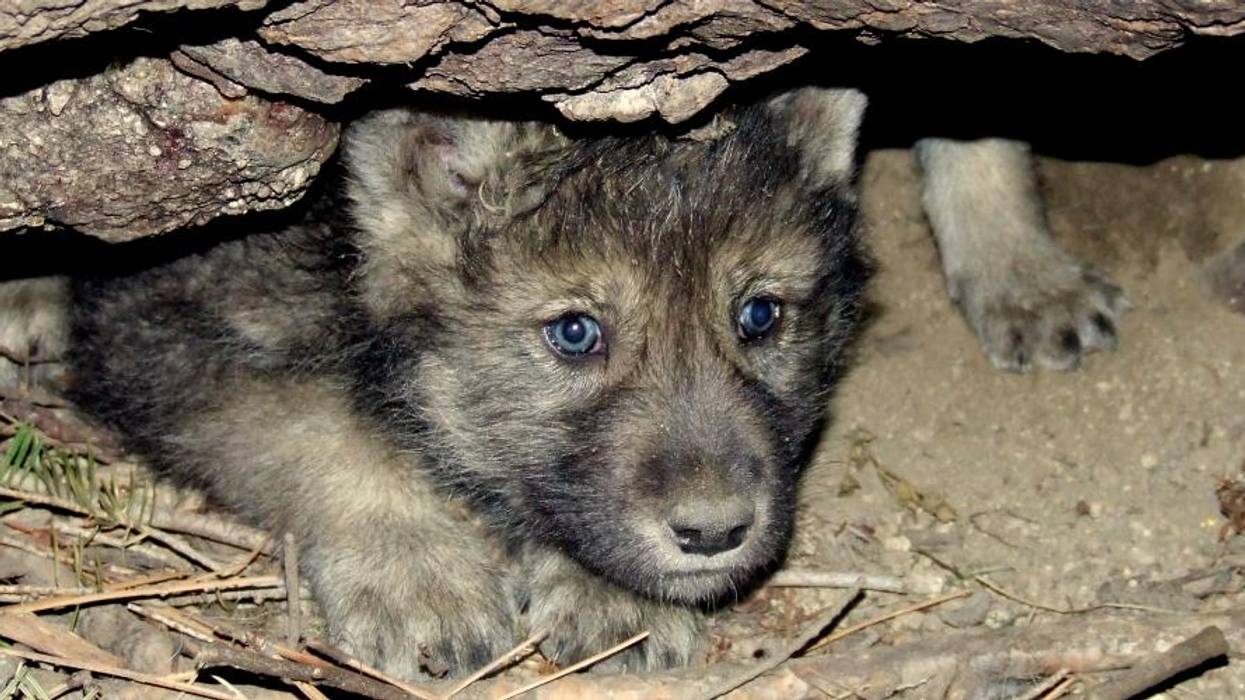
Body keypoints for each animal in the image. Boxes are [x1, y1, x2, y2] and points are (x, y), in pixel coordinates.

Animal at [0, 87, 871, 677]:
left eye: (759, 316)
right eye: (575, 333)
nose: (714, 532)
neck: (344, 250)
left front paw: (614, 593)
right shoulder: (168, 322)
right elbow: (322, 423)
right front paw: (418, 571)